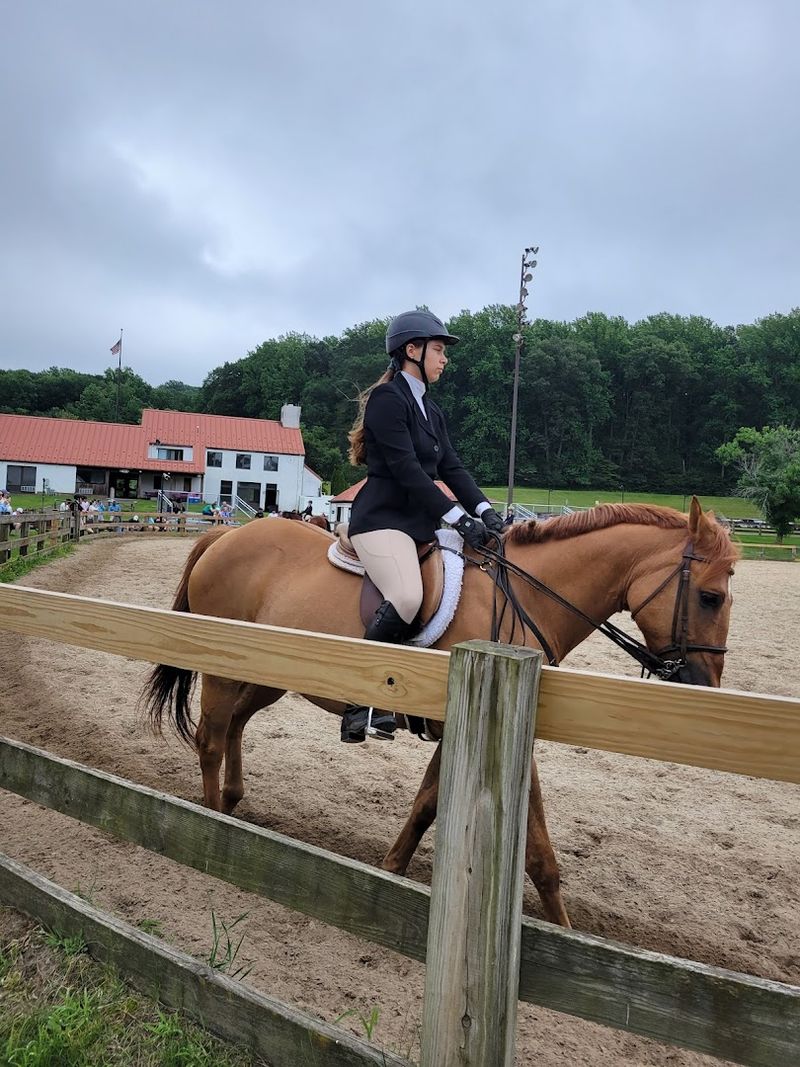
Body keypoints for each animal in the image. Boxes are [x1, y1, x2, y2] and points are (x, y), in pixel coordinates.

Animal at [143, 498, 738, 927]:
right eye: (710, 598)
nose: (704, 686)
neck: (524, 598)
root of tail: (225, 536)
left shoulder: (469, 722)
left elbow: (429, 803)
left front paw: (392, 870)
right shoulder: (492, 722)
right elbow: (535, 850)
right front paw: (565, 933)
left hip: (270, 674)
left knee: (236, 724)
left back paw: (231, 805)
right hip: (223, 668)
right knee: (212, 738)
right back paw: (211, 820)